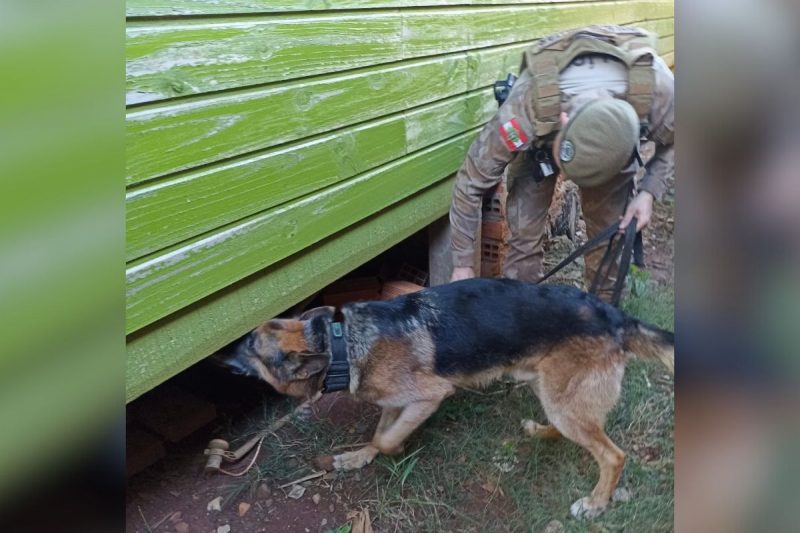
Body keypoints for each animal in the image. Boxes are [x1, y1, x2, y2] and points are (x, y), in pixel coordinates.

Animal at [216, 276, 672, 516]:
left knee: (612, 455)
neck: (341, 343)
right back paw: (540, 433)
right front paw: (359, 456)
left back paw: (596, 502)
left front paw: (393, 451)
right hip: (551, 393)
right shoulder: (396, 403)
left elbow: (388, 438)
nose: (219, 357)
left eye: (251, 347)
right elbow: (378, 433)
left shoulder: (429, 396)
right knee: (570, 429)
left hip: (564, 401)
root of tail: (616, 315)